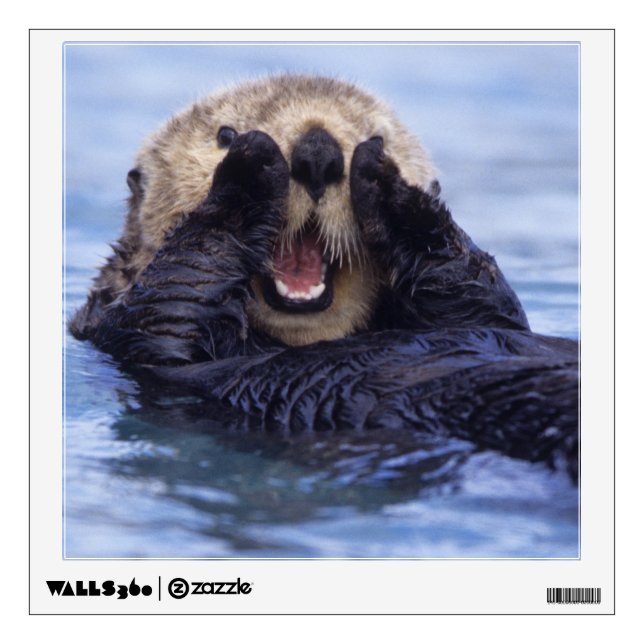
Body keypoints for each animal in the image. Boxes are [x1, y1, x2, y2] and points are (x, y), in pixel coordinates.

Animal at [70, 75, 578, 479]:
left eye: (377, 134)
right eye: (224, 133)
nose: (318, 151)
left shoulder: (485, 313)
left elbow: (482, 296)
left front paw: (390, 187)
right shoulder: (130, 330)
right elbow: (175, 296)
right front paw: (250, 168)